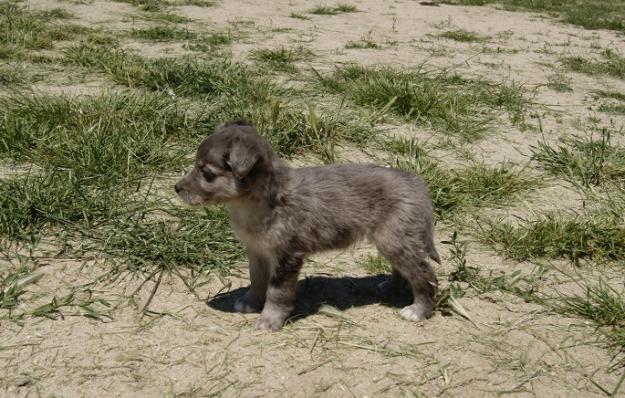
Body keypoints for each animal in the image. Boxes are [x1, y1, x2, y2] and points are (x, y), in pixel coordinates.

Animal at [174, 119, 438, 332]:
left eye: (206, 172)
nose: (176, 188)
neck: (255, 202)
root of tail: (415, 181)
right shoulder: (257, 251)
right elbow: (257, 280)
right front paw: (250, 302)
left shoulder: (287, 256)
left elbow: (277, 292)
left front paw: (269, 320)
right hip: (392, 241)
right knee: (403, 268)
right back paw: (391, 286)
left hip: (395, 239)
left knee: (424, 274)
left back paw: (418, 310)